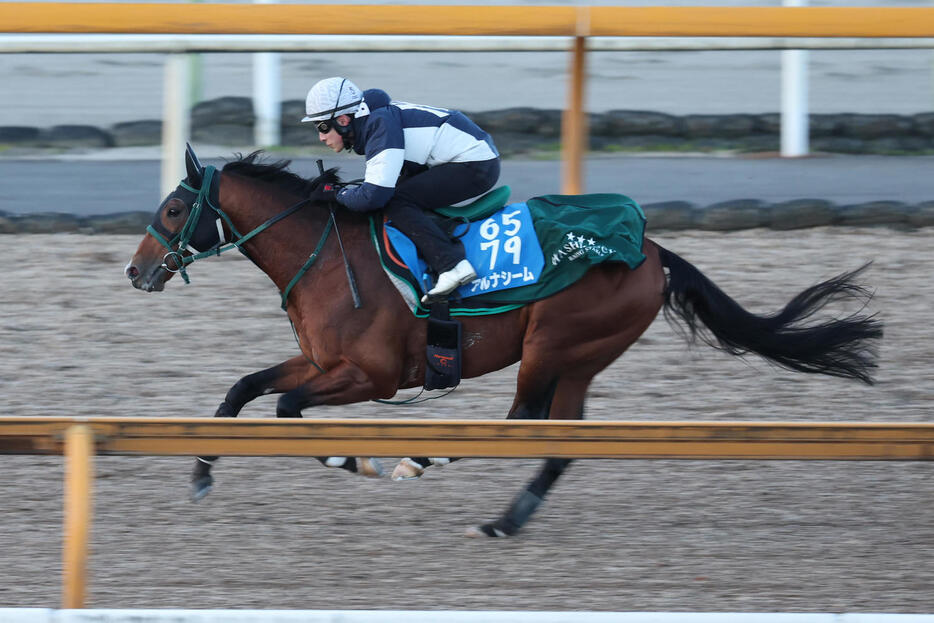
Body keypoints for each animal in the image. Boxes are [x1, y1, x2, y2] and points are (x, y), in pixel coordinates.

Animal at [126, 146, 884, 536]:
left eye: (174, 207)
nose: (135, 271)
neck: (325, 254)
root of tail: (652, 251)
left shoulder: (371, 375)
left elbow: (287, 410)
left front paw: (359, 459)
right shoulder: (318, 360)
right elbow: (243, 389)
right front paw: (200, 473)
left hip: (553, 343)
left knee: (522, 418)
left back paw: (422, 462)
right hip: (579, 359)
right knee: (560, 439)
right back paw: (508, 519)